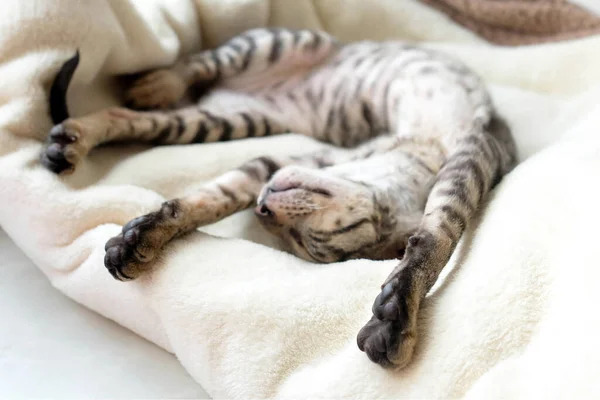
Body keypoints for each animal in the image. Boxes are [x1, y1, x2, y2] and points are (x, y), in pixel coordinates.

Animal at [44, 28, 516, 370]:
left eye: (304, 241)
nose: (263, 210)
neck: (417, 152)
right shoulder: (289, 163)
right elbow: (437, 238)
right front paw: (397, 316)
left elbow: (435, 239)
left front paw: (141, 239)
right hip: (276, 44)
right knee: (194, 65)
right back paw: (157, 82)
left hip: (224, 121)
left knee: (129, 117)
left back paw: (76, 138)